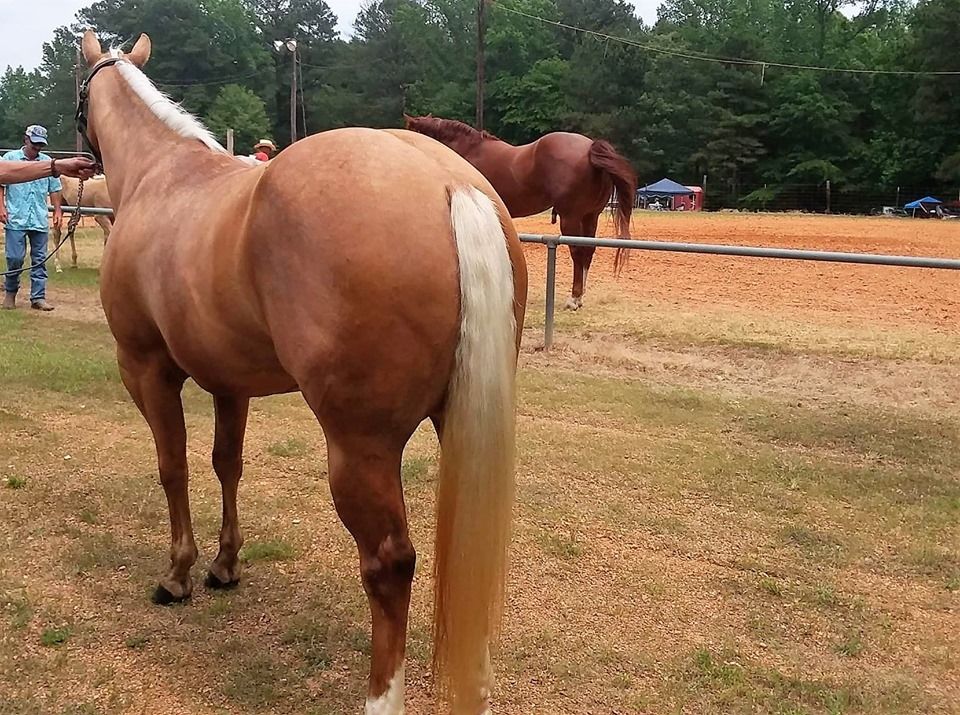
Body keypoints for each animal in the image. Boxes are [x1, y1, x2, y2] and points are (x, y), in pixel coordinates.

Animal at [79, 31, 527, 715]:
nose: (80, 159)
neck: (161, 176)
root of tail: (448, 181)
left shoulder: (147, 369)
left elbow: (173, 466)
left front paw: (178, 575)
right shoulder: (229, 384)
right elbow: (227, 464)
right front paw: (224, 566)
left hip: (359, 448)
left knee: (389, 563)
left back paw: (381, 698)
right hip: (463, 425)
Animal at [404, 115, 637, 310]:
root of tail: (590, 148)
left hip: (571, 218)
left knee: (577, 252)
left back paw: (574, 298)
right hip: (590, 217)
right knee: (588, 250)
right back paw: (580, 297)